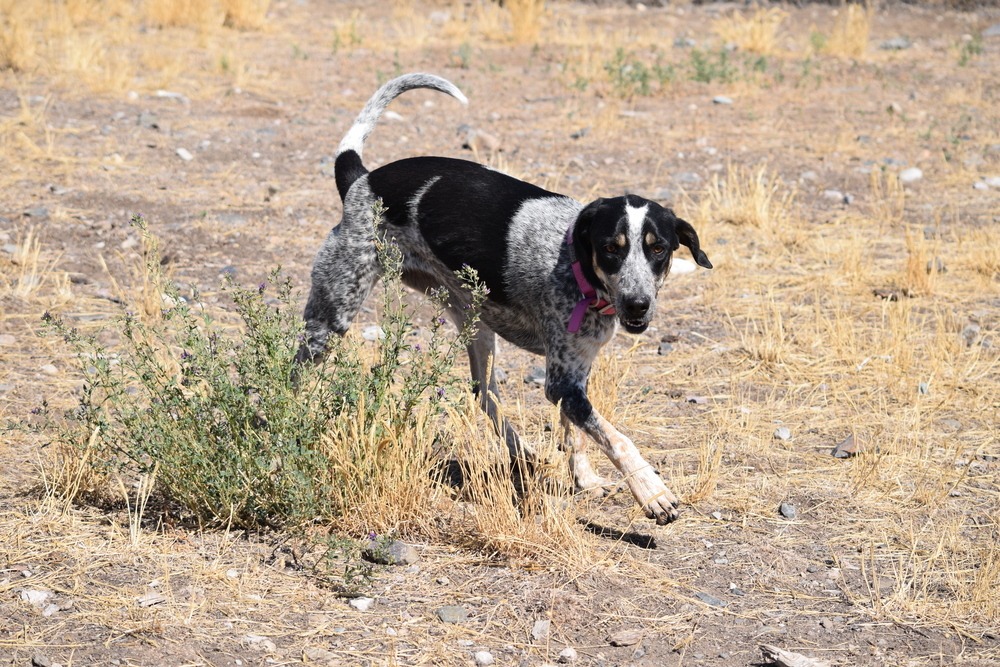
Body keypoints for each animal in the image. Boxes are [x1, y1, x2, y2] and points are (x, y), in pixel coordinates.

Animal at [298, 75, 712, 528]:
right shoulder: (562, 382)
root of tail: (362, 180)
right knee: (295, 371)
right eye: (610, 248)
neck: (576, 267)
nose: (638, 305)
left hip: (477, 324)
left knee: (483, 393)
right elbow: (615, 437)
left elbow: (577, 433)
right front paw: (652, 491)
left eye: (659, 249)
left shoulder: (572, 376)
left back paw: (524, 455)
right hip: (332, 315)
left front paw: (585, 479)